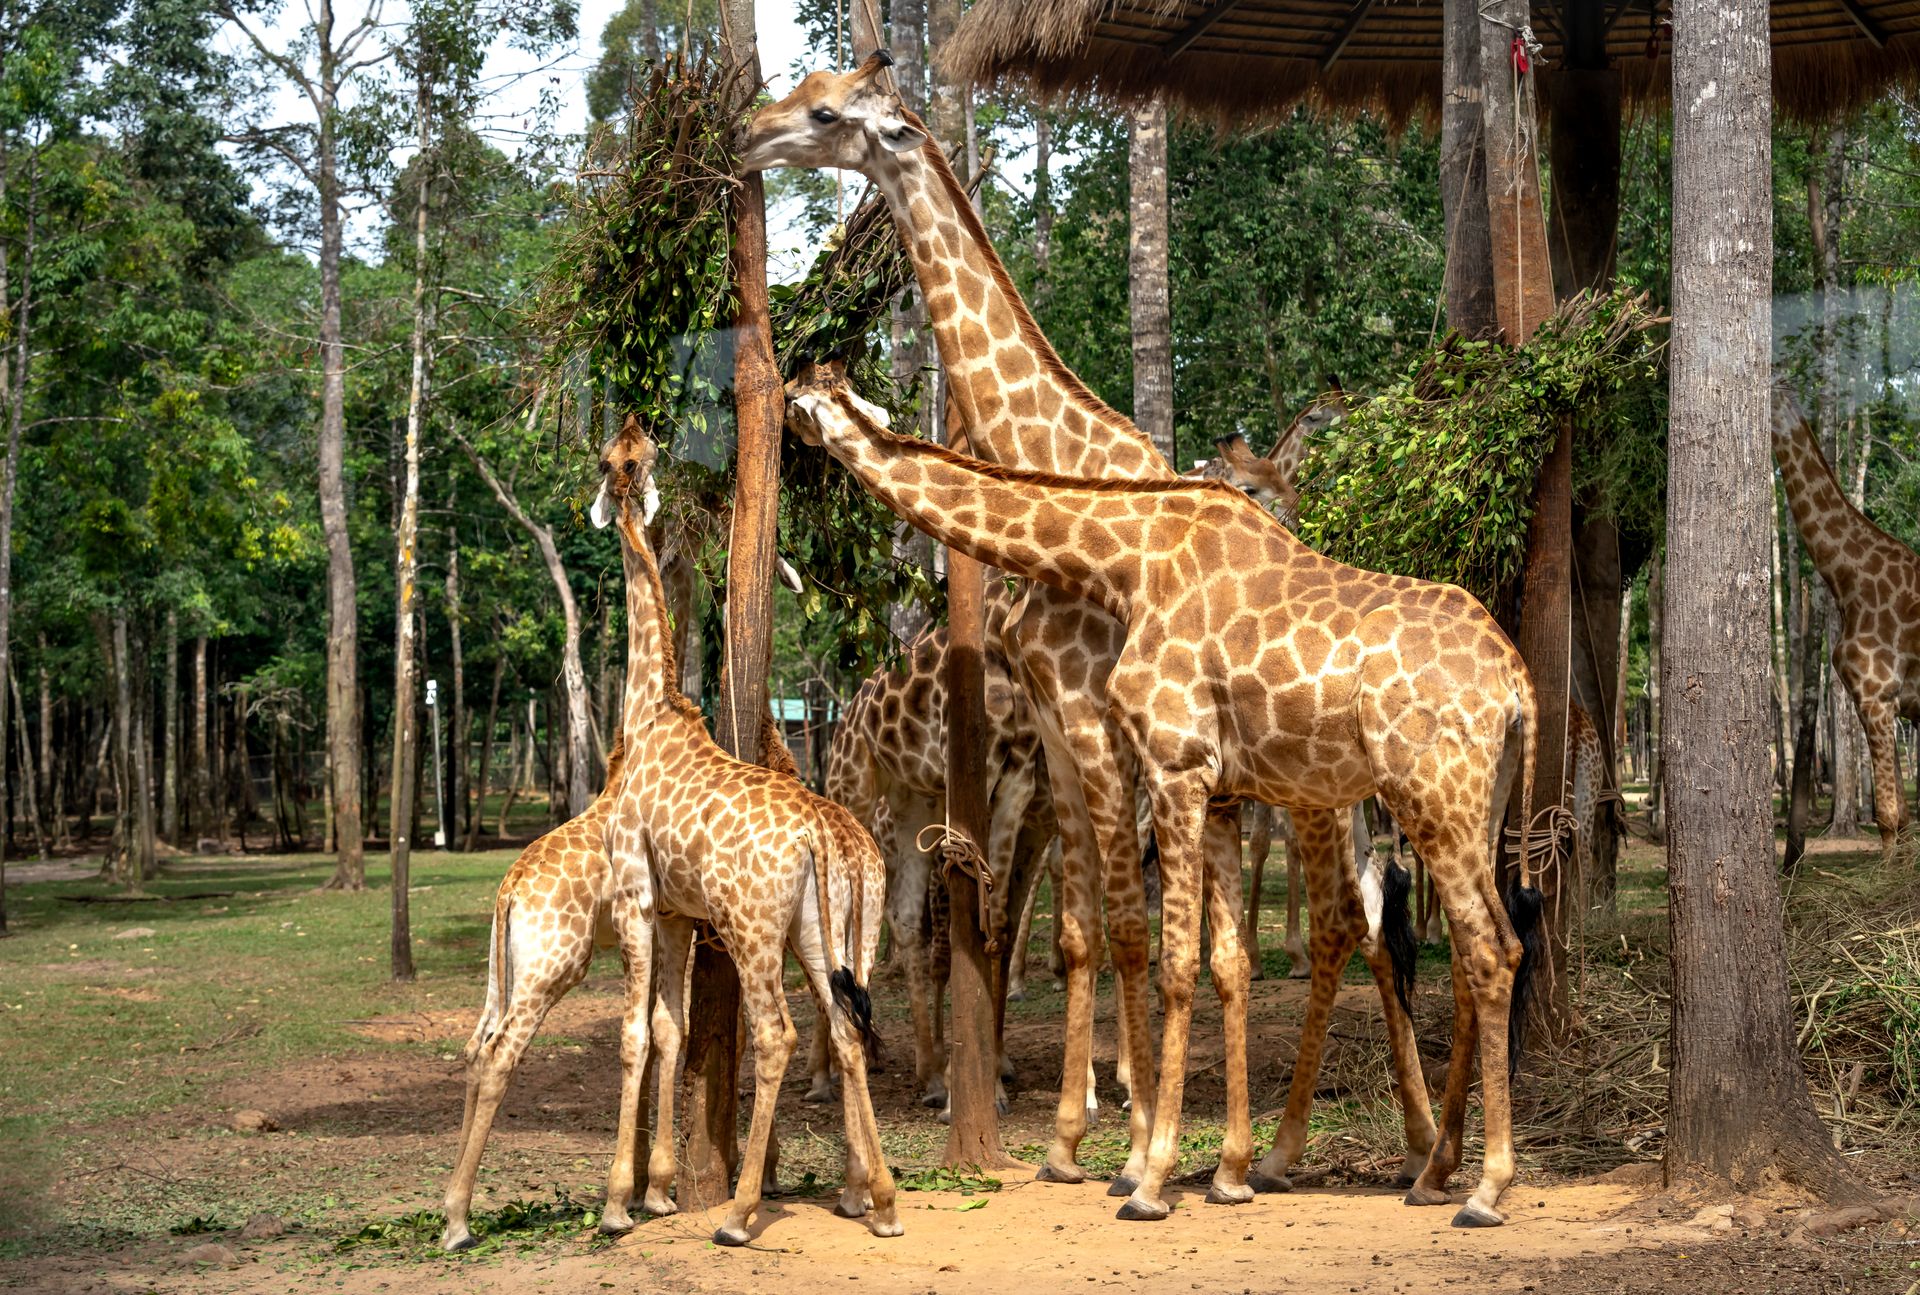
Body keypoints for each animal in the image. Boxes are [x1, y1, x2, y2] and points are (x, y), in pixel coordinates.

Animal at [587, 416, 901, 1246]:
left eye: (618, 460)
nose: (634, 429)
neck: (647, 710)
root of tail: (824, 837)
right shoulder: (672, 910)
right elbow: (671, 1028)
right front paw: (658, 1191)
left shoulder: (634, 894)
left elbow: (633, 1031)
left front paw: (617, 1202)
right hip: (825, 933)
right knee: (847, 1026)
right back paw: (880, 1202)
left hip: (757, 925)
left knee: (780, 1032)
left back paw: (739, 1213)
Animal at [744, 59, 1440, 1197]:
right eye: (805, 90)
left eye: (828, 113)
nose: (747, 134)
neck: (1056, 454)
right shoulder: (1059, 739)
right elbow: (1083, 934)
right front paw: (1078, 1137)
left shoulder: (1094, 723)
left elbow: (1129, 932)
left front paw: (1134, 1132)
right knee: (1359, 918)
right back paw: (1364, 1142)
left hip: (1312, 794)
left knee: (1355, 919)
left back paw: (1360, 1141)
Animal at [783, 374, 1543, 1227]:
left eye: (801, 405)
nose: (783, 420)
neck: (1130, 558)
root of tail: (1517, 681)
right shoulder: (1215, 786)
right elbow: (1221, 958)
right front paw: (1228, 1171)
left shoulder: (1174, 763)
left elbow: (1173, 960)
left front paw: (1149, 1178)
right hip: (1478, 798)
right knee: (1484, 946)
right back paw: (1433, 1169)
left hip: (1428, 793)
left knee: (1482, 947)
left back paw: (1485, 1187)